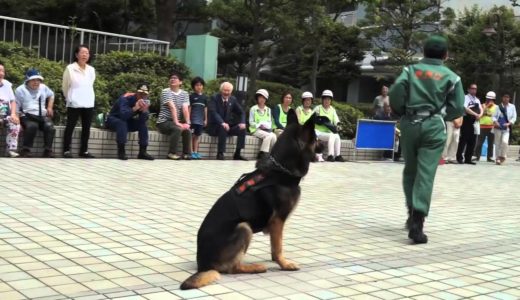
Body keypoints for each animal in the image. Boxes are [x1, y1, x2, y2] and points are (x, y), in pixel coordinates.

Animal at [181, 109, 314, 290]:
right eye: (316, 138)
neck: (280, 171)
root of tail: (204, 266)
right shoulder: (277, 221)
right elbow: (278, 248)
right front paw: (284, 264)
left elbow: (275, 246)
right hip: (244, 227)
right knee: (232, 268)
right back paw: (255, 267)